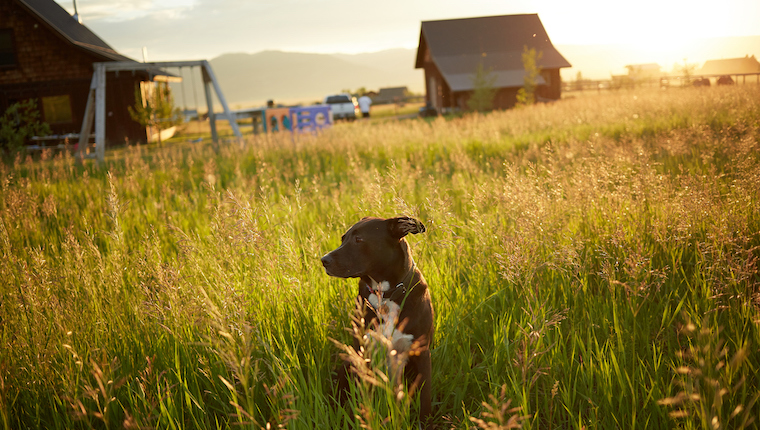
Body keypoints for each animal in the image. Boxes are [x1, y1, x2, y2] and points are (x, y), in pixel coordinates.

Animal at [320, 217, 434, 424]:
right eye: (343, 238)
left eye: (358, 239)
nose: (324, 260)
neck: (385, 295)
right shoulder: (362, 350)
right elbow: (360, 396)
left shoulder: (421, 352)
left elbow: (425, 398)